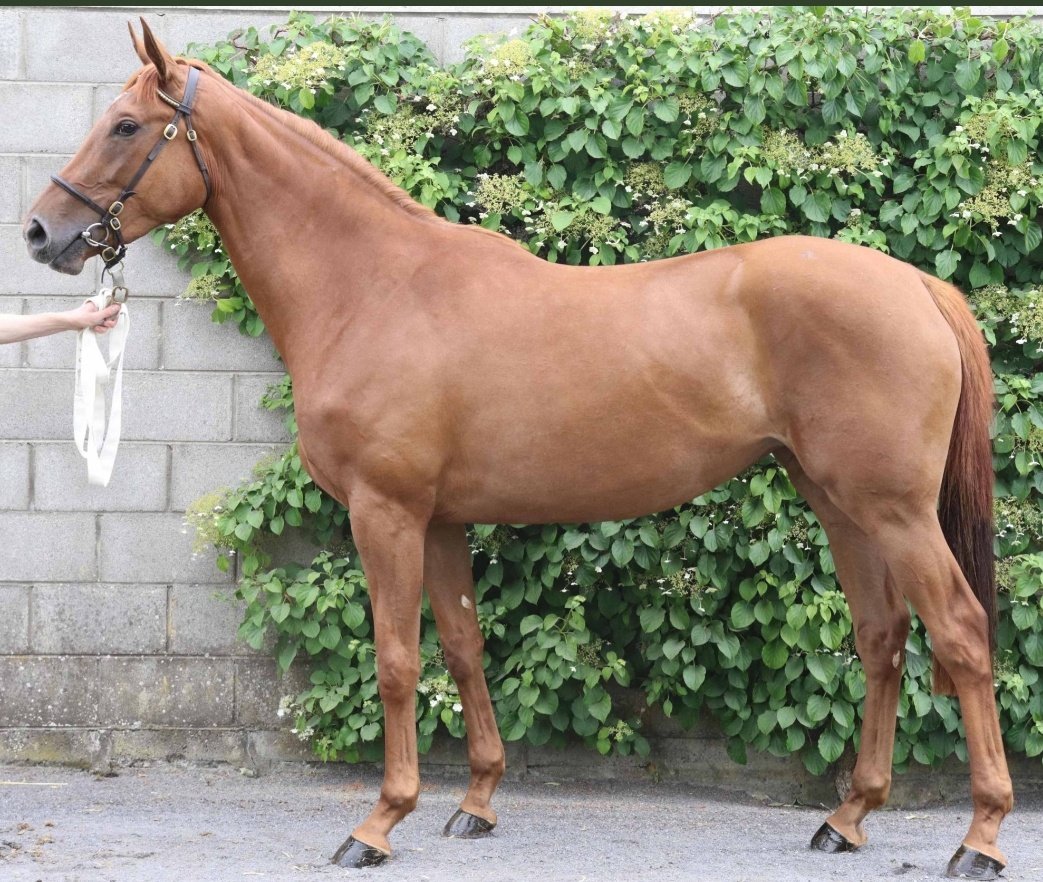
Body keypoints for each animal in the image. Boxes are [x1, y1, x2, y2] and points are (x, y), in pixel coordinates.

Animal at [23, 20, 1012, 880]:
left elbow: (397, 660)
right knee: (881, 636)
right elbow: (463, 647)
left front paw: (378, 823)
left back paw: (980, 837)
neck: (374, 286)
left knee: (961, 634)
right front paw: (477, 804)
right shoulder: (440, 520)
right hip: (838, 502)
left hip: (892, 509)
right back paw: (848, 818)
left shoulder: (385, 513)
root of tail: (917, 284)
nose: (42, 233)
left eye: (124, 125)